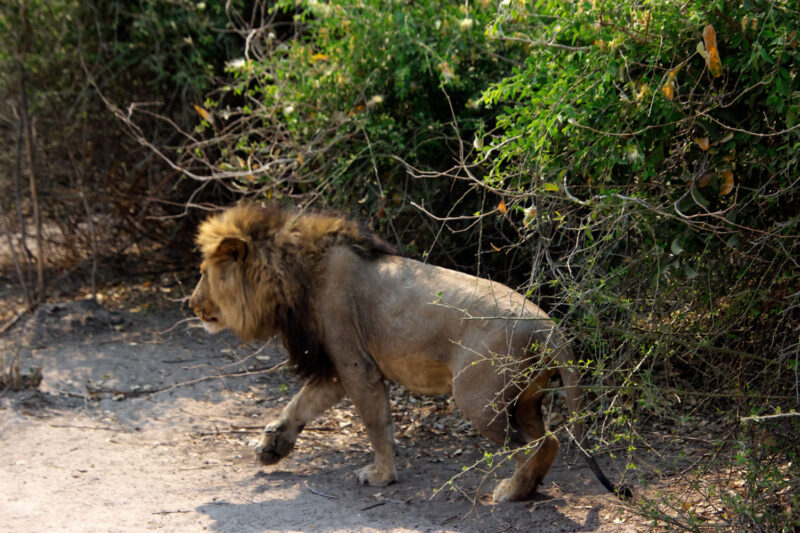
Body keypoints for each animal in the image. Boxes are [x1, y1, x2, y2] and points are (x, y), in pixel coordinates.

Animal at [191, 204, 628, 502]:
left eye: (204, 273)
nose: (192, 304)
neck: (292, 274)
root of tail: (548, 325)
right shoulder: (338, 365)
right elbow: (301, 404)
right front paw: (272, 446)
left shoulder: (356, 363)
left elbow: (376, 424)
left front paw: (381, 476)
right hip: (524, 399)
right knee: (547, 440)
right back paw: (528, 486)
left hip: (477, 398)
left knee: (535, 444)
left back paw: (510, 491)